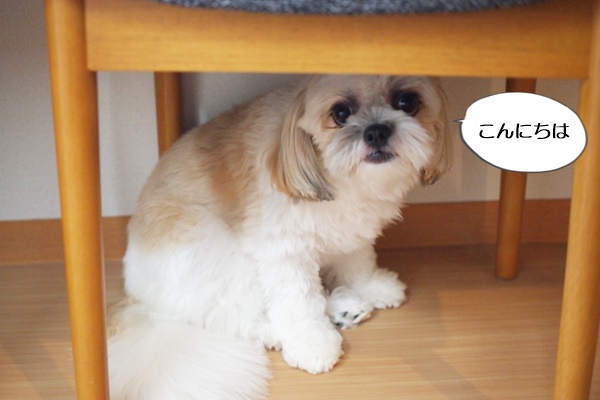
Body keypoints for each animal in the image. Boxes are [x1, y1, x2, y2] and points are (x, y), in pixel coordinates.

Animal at [108, 75, 451, 400]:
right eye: (340, 113)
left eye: (408, 102)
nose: (377, 131)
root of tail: (138, 294)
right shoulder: (283, 250)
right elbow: (297, 300)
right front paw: (311, 342)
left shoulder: (353, 233)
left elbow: (358, 262)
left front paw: (371, 286)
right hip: (214, 247)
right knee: (230, 315)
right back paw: (279, 331)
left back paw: (343, 307)